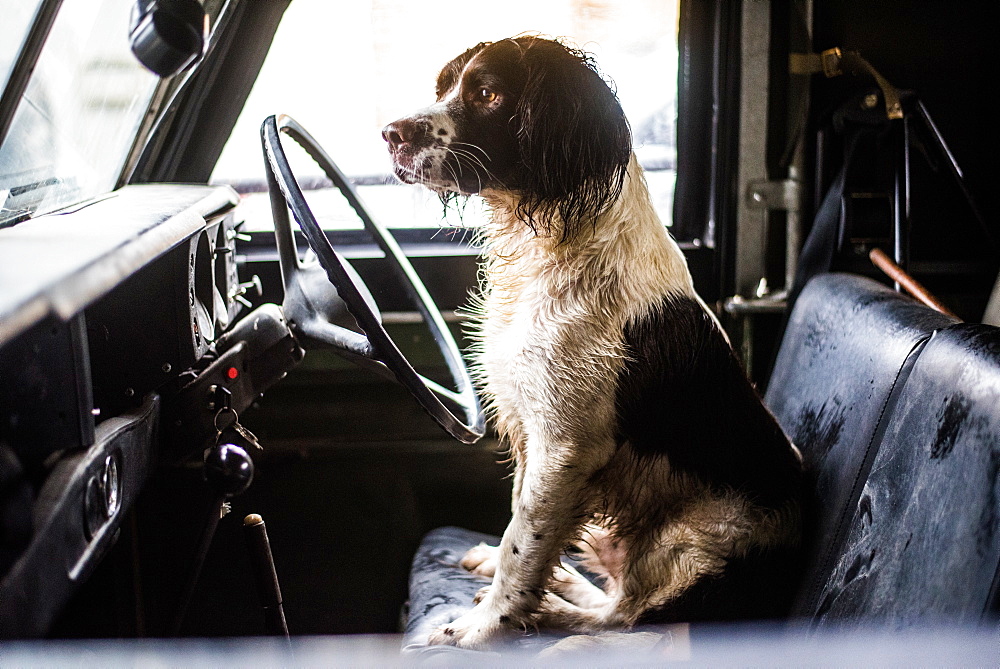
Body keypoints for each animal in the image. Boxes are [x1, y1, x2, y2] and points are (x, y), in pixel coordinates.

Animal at [378, 35, 800, 648]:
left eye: (488, 94)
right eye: (444, 87)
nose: (391, 133)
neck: (549, 247)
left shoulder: (567, 445)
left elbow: (524, 544)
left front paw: (483, 629)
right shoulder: (532, 430)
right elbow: (523, 525)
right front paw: (503, 583)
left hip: (690, 543)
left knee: (626, 617)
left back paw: (556, 612)